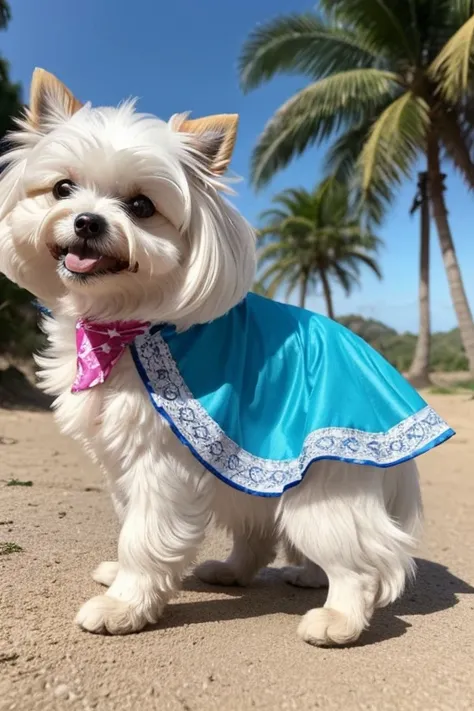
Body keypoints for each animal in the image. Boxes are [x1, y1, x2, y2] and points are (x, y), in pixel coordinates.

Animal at [0, 69, 428, 648]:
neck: (131, 322)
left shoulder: (161, 458)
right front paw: (122, 580)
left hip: (322, 488)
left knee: (359, 560)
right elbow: (130, 521)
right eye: (62, 188)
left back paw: (337, 619)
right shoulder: (123, 456)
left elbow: (144, 533)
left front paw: (124, 606)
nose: (87, 221)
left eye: (141, 206)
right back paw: (254, 572)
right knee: (261, 535)